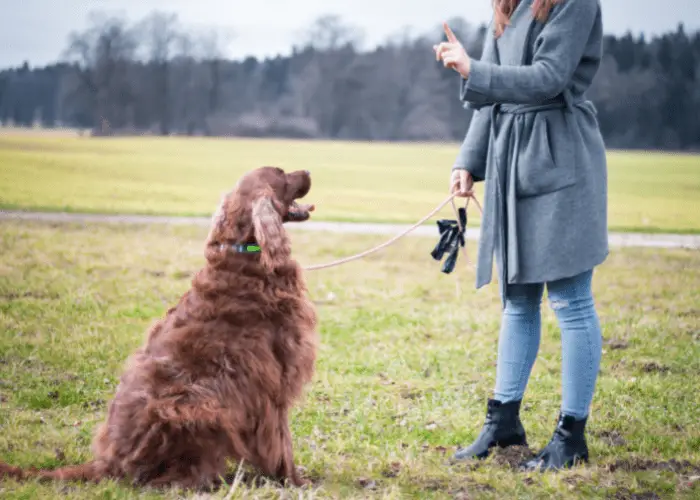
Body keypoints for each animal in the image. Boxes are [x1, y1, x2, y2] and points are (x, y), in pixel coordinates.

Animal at [0, 166, 318, 490]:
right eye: (281, 173)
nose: (307, 170)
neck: (245, 256)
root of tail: (108, 463)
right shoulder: (274, 381)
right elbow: (282, 441)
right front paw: (295, 481)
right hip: (193, 404)